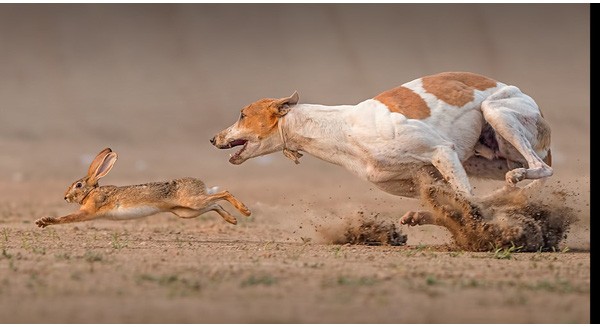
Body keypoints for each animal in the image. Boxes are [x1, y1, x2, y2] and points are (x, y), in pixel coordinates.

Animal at [211, 72, 552, 226]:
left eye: (242, 114)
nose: (213, 139)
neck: (342, 128)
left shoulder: (441, 150)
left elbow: (466, 201)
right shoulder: (423, 178)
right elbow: (457, 202)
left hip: (497, 113)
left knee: (541, 169)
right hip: (482, 160)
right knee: (505, 190)